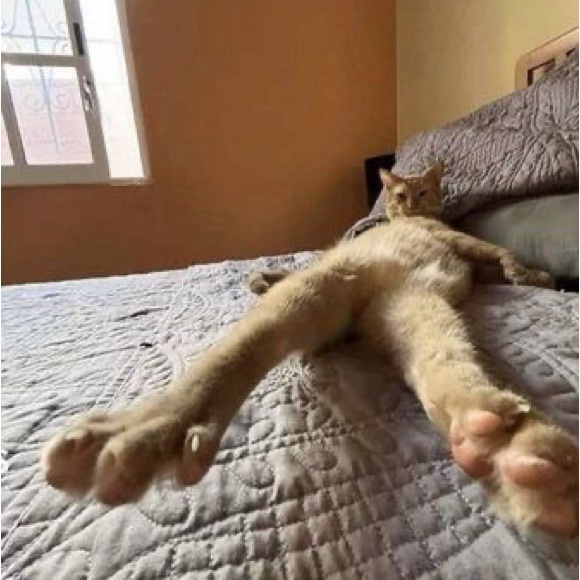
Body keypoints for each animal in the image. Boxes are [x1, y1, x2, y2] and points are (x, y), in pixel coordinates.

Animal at [42, 164, 578, 537]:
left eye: (421, 192)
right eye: (399, 194)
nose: (406, 205)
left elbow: (500, 260)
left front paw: (529, 276)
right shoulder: (458, 241)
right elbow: (502, 255)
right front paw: (531, 275)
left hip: (408, 308)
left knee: (444, 367)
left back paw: (508, 449)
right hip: (336, 288)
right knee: (228, 356)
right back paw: (146, 433)